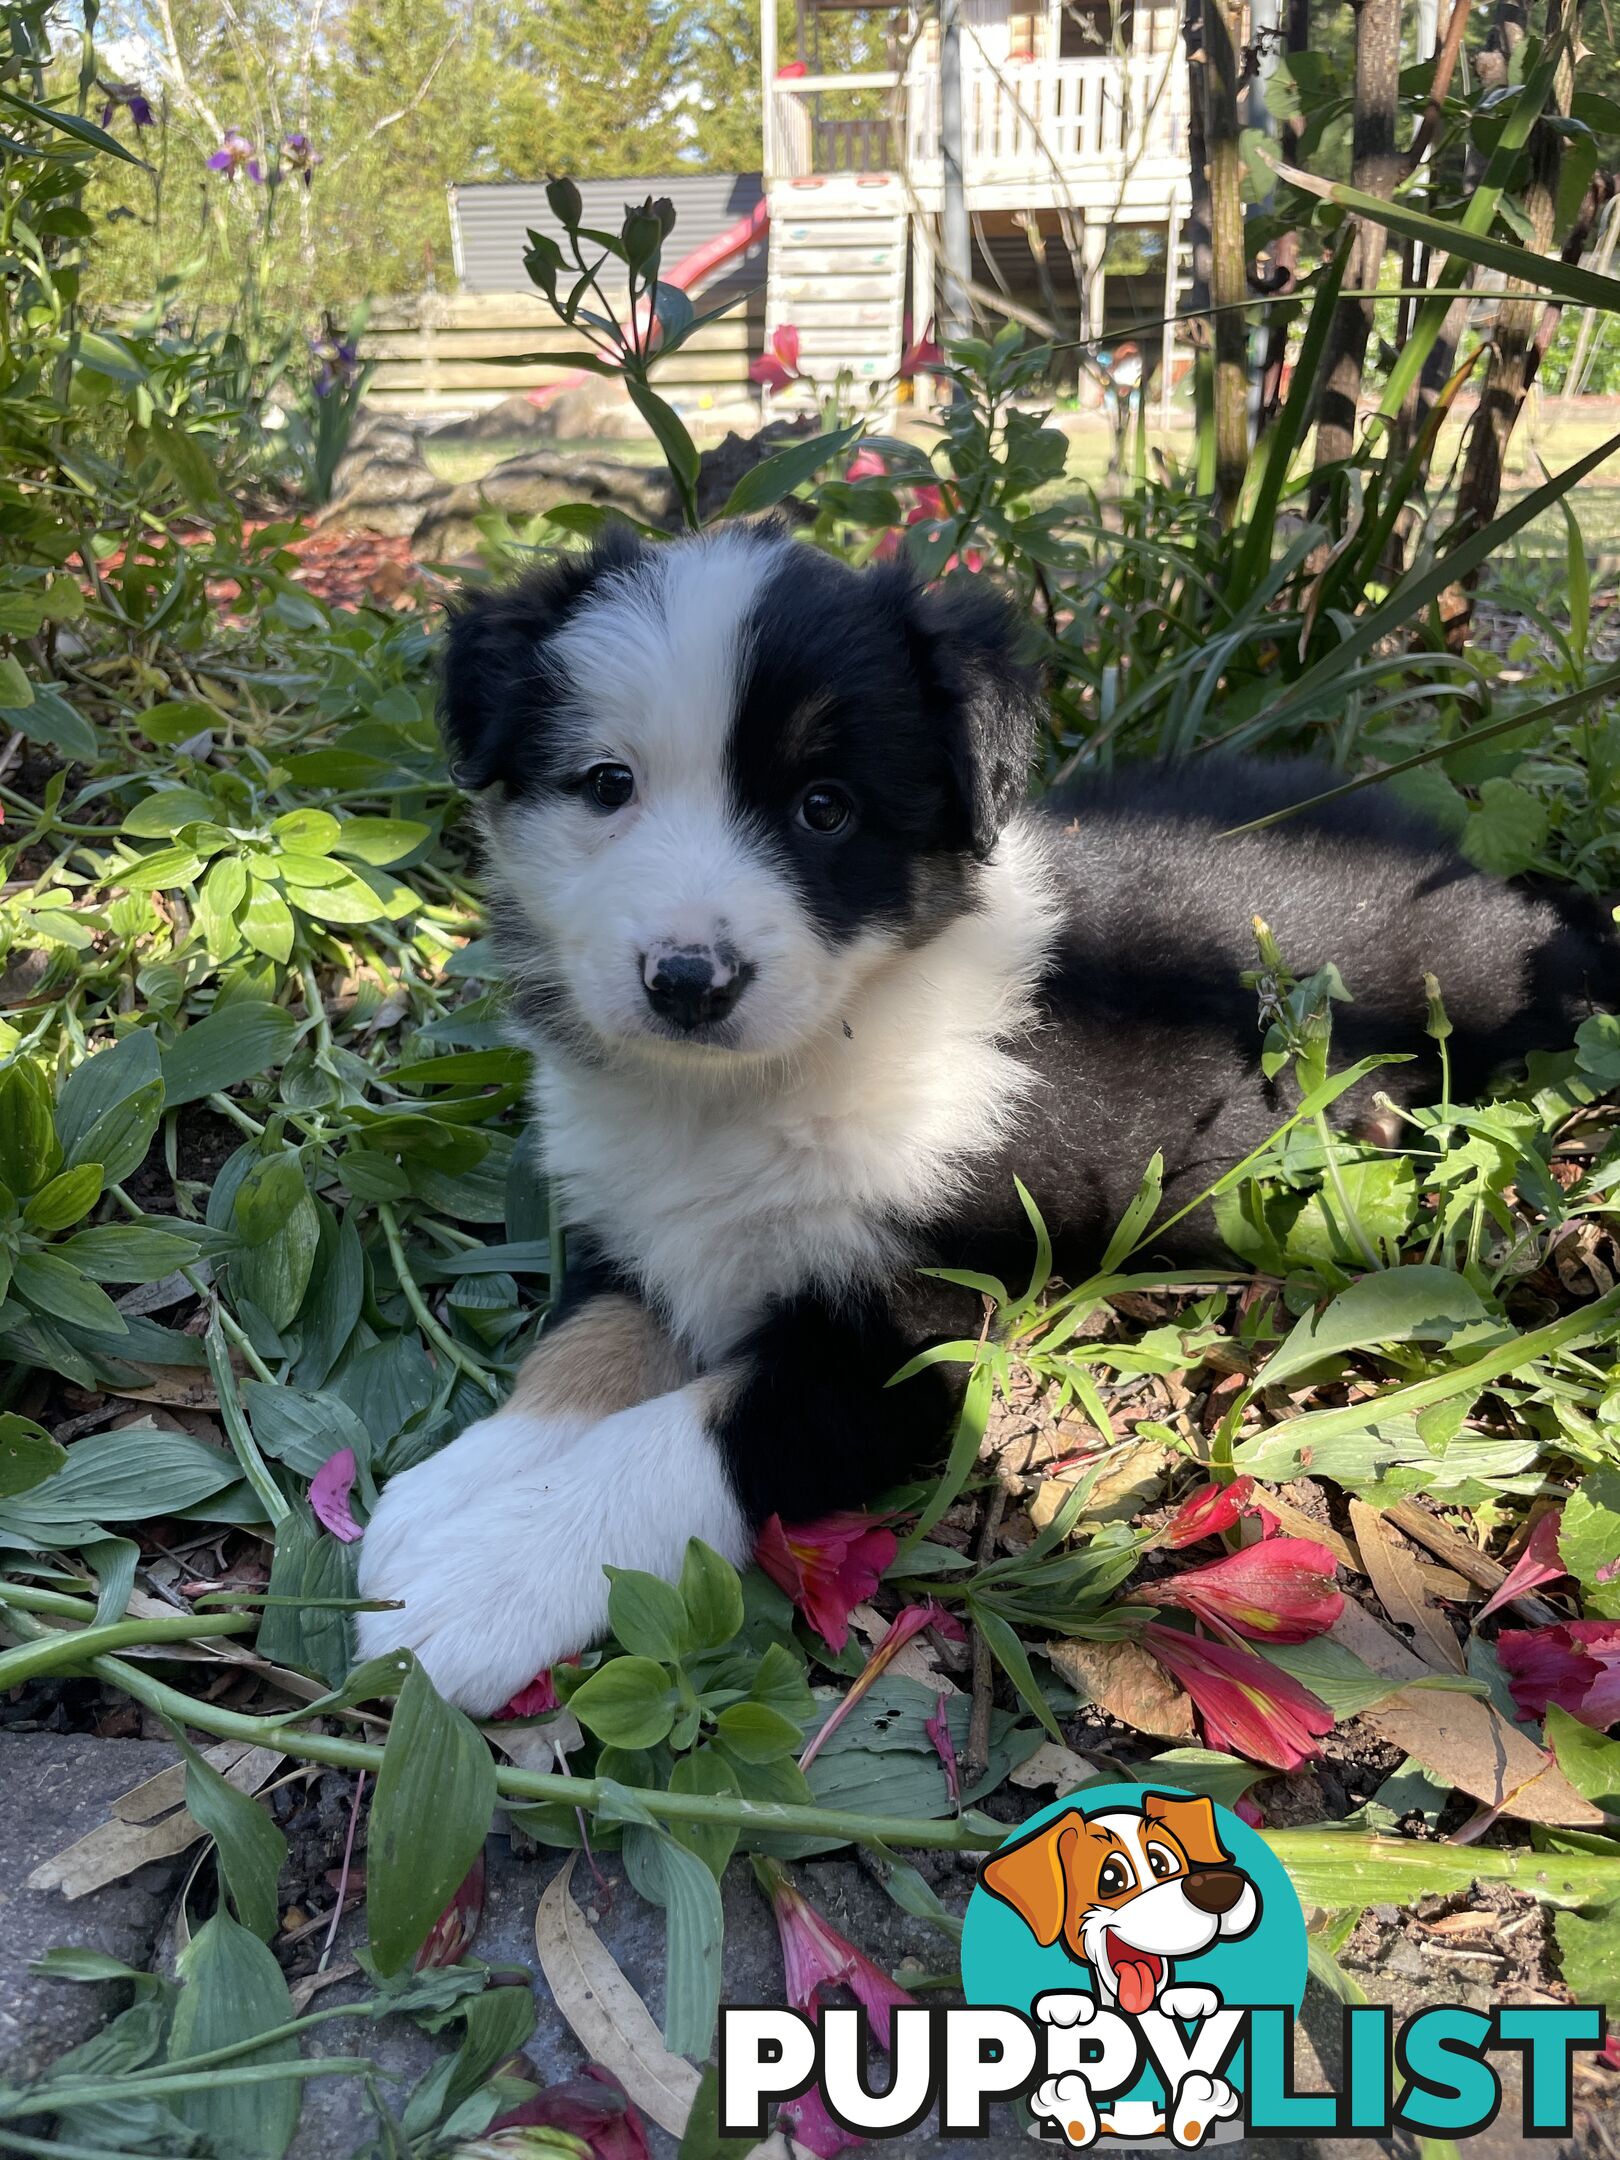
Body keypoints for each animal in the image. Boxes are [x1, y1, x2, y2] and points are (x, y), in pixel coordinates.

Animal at [358, 518, 1620, 1702]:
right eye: (607, 784)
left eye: (825, 809)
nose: (687, 980)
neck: (760, 1081)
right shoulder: (633, 1215)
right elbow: (588, 1340)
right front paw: (460, 1487)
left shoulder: (920, 1319)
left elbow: (690, 1435)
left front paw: (487, 1579)